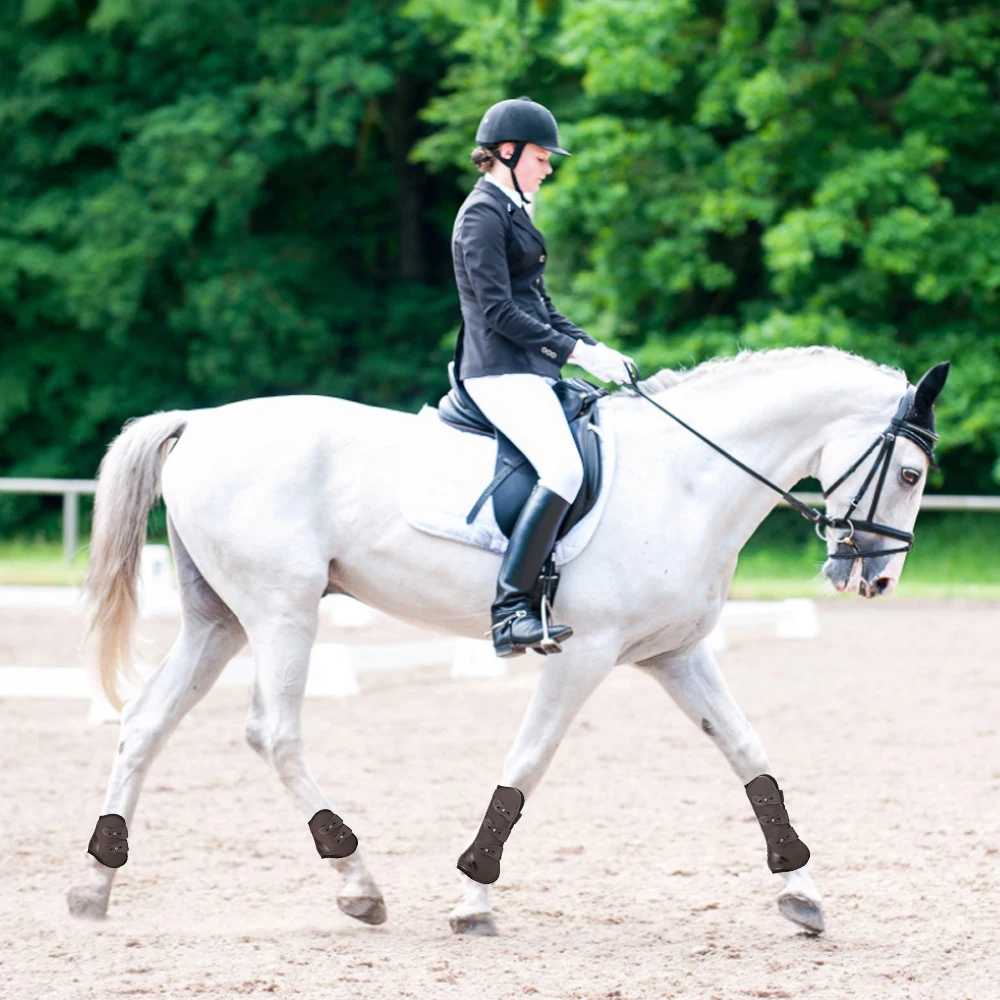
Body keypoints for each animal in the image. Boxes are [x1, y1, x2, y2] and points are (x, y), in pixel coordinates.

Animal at [68, 346, 944, 936]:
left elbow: (749, 753)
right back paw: (357, 881)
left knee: (145, 723)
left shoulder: (674, 653)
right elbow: (527, 765)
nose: (874, 580)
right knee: (272, 731)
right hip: (282, 610)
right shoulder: (584, 652)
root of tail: (201, 423)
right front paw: (473, 897)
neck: (686, 479)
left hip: (217, 619)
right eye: (908, 474)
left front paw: (801, 890)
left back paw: (95, 883)